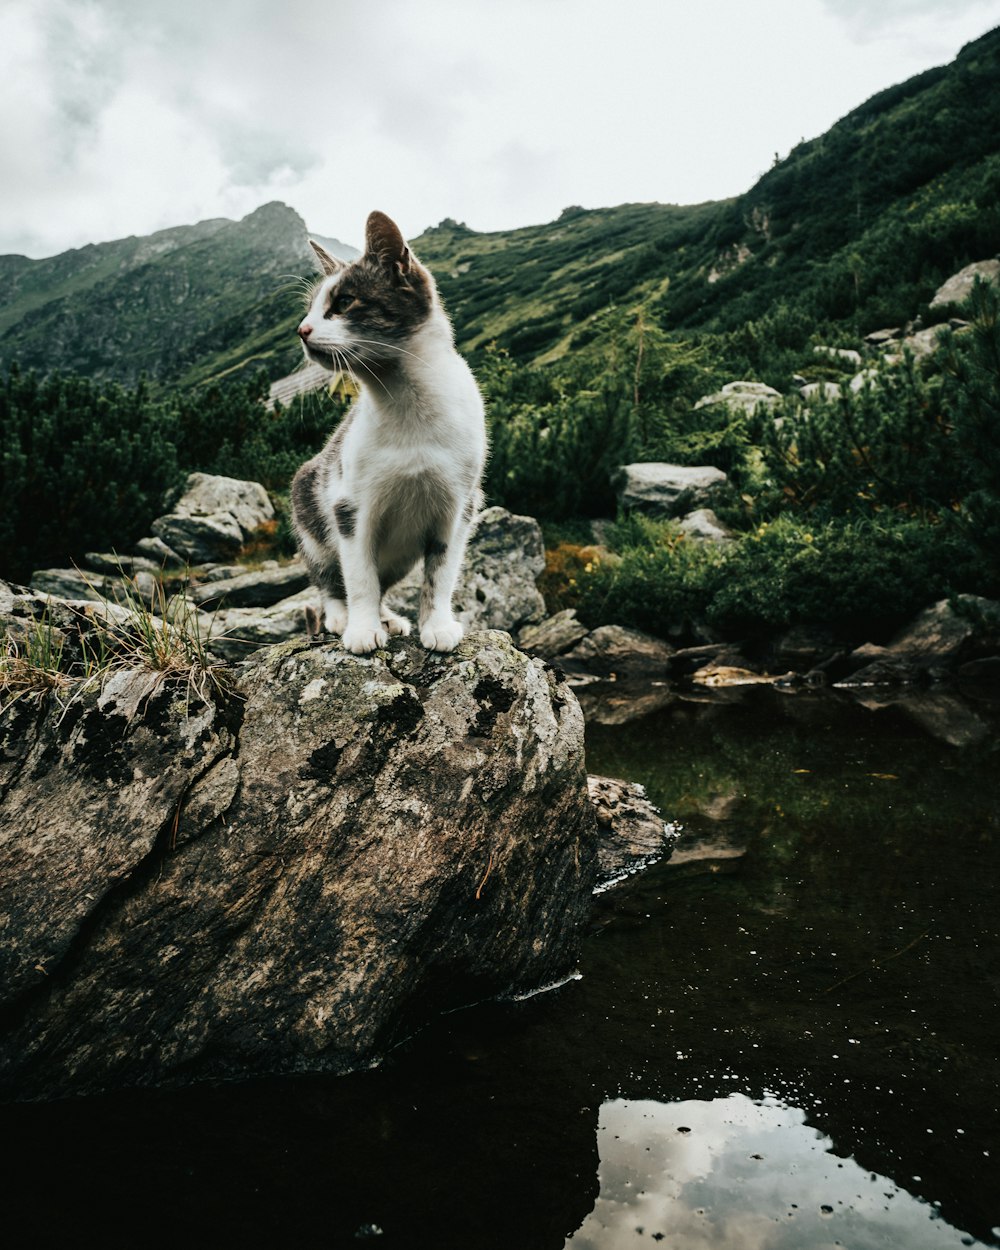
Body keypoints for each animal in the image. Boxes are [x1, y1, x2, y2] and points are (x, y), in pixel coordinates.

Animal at [291, 210, 487, 655]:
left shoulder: (460, 506)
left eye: (343, 302)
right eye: (311, 309)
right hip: (311, 514)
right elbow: (359, 576)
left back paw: (389, 617)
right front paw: (362, 629)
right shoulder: (349, 506)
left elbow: (441, 574)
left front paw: (437, 624)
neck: (407, 407)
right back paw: (341, 616)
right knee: (329, 578)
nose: (302, 330)